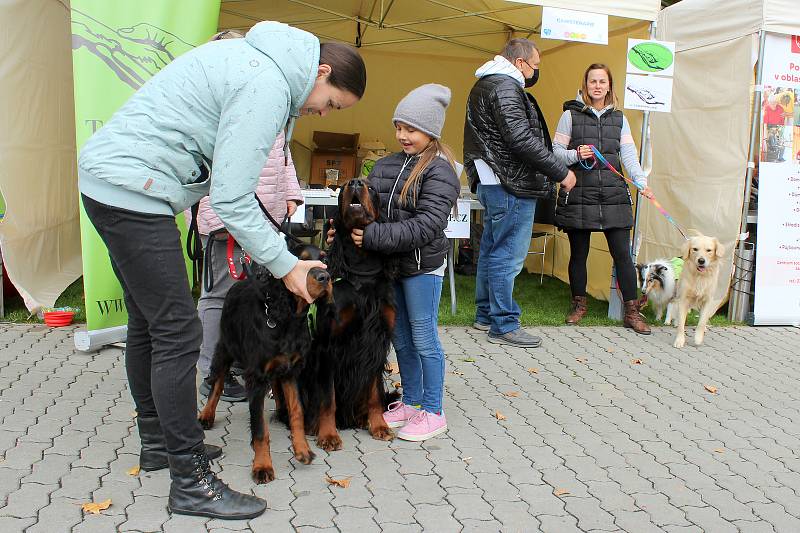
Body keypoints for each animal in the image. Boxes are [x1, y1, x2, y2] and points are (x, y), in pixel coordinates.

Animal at [198, 240, 332, 482]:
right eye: (301, 260)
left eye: (325, 259)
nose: (324, 277)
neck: (287, 318)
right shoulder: (256, 376)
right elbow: (260, 428)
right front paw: (262, 466)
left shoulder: (291, 370)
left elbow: (297, 410)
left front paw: (302, 449)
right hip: (225, 347)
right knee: (217, 382)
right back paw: (207, 415)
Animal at [280, 179, 398, 448]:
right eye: (344, 187)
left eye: (371, 187)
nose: (355, 182)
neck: (361, 273)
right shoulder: (328, 345)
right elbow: (328, 397)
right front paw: (328, 435)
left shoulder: (376, 340)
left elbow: (374, 393)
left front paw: (379, 426)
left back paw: (361, 417)